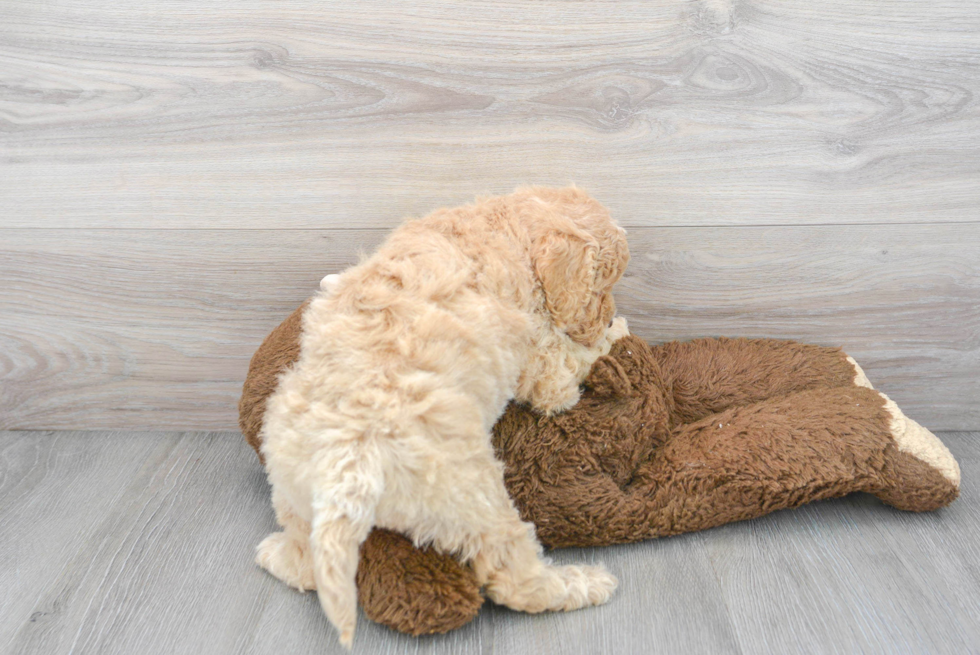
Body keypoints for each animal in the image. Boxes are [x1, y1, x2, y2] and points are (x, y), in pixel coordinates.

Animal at [256, 184, 632, 644]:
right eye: (604, 282)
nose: (608, 317)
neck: (505, 223)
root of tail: (346, 472)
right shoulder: (545, 367)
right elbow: (576, 361)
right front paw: (619, 333)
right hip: (474, 495)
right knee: (515, 579)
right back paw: (585, 583)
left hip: (290, 483)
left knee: (305, 563)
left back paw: (275, 554)